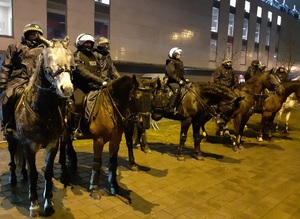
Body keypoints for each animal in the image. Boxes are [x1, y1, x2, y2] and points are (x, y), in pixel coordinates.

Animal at [6, 36, 74, 217]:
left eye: (71, 60)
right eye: (49, 59)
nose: (67, 89)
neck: (43, 112)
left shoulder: (52, 145)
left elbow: (48, 173)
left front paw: (48, 204)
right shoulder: (29, 146)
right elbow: (34, 174)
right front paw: (34, 205)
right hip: (10, 138)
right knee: (12, 156)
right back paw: (13, 178)